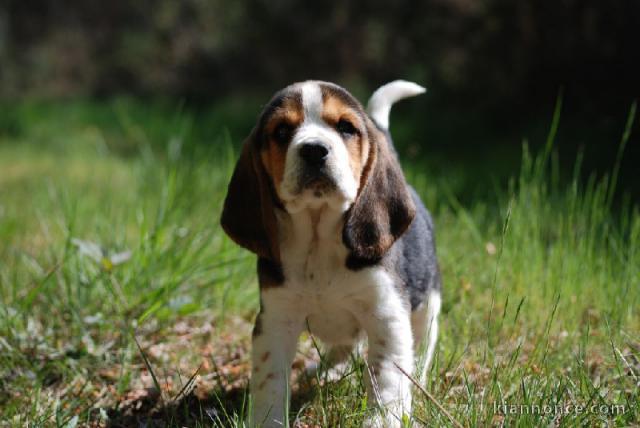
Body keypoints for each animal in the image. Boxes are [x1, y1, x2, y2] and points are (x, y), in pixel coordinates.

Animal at [220, 81, 440, 428]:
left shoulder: (387, 314)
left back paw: (416, 381)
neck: (318, 238)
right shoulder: (276, 319)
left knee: (420, 349)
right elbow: (270, 380)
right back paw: (327, 371)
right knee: (344, 344)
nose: (313, 149)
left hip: (428, 306)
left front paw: (382, 418)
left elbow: (386, 375)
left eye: (346, 128)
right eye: (281, 131)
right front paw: (268, 420)